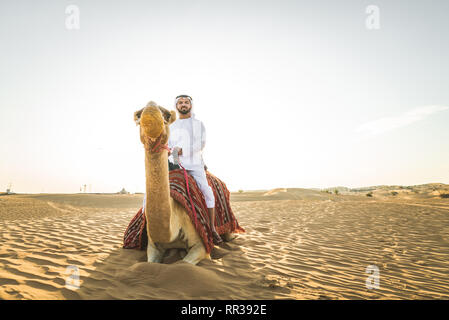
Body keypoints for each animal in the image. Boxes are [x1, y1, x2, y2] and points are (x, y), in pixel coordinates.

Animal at [134, 101, 234, 264]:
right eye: (138, 115)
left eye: (167, 115)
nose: (150, 109)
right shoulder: (153, 245)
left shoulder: (201, 245)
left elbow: (183, 262)